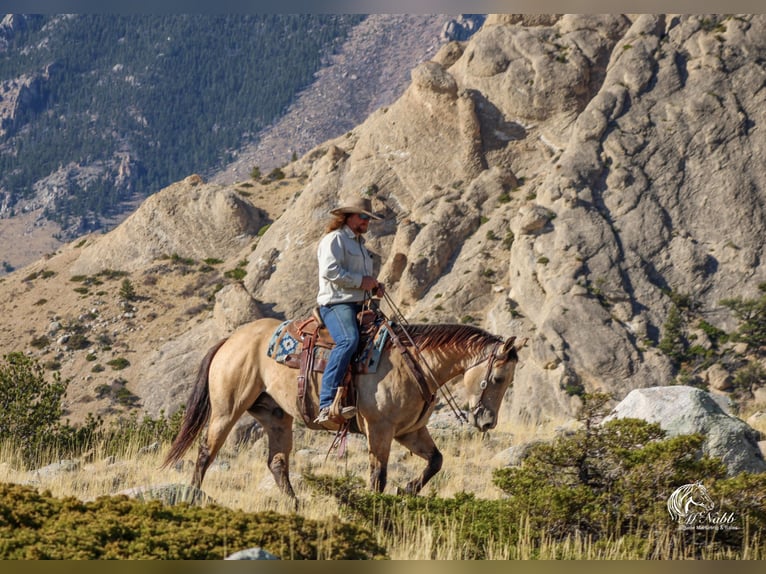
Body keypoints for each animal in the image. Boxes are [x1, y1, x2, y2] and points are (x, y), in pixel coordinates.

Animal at [161, 316, 520, 500]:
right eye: (498, 378)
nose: (487, 422)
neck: (414, 362)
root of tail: (231, 339)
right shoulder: (380, 429)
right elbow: (378, 476)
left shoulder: (410, 431)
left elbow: (435, 461)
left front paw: (406, 490)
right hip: (227, 409)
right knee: (206, 453)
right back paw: (192, 497)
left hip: (276, 417)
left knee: (277, 463)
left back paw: (296, 507)